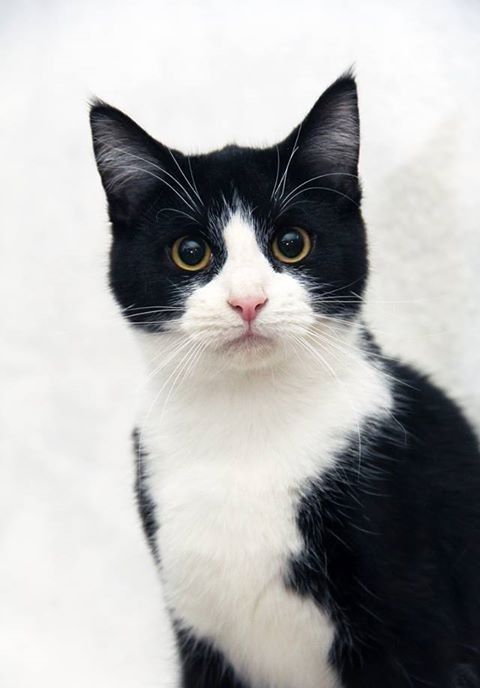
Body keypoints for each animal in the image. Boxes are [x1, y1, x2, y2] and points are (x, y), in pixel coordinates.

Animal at [90, 75, 480, 688]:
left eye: (291, 243)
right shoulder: (198, 631)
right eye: (190, 253)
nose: (248, 301)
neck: (247, 426)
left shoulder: (416, 619)